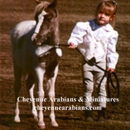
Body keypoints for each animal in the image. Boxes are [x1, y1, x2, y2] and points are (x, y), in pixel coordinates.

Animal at [10, 0, 62, 128]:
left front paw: (53, 121)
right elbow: (41, 94)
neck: (48, 47)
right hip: (17, 67)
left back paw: (34, 114)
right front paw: (41, 122)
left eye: (48, 18)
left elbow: (51, 94)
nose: (34, 39)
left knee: (29, 85)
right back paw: (17, 117)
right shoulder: (39, 70)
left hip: (31, 70)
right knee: (17, 86)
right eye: (36, 18)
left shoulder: (53, 71)